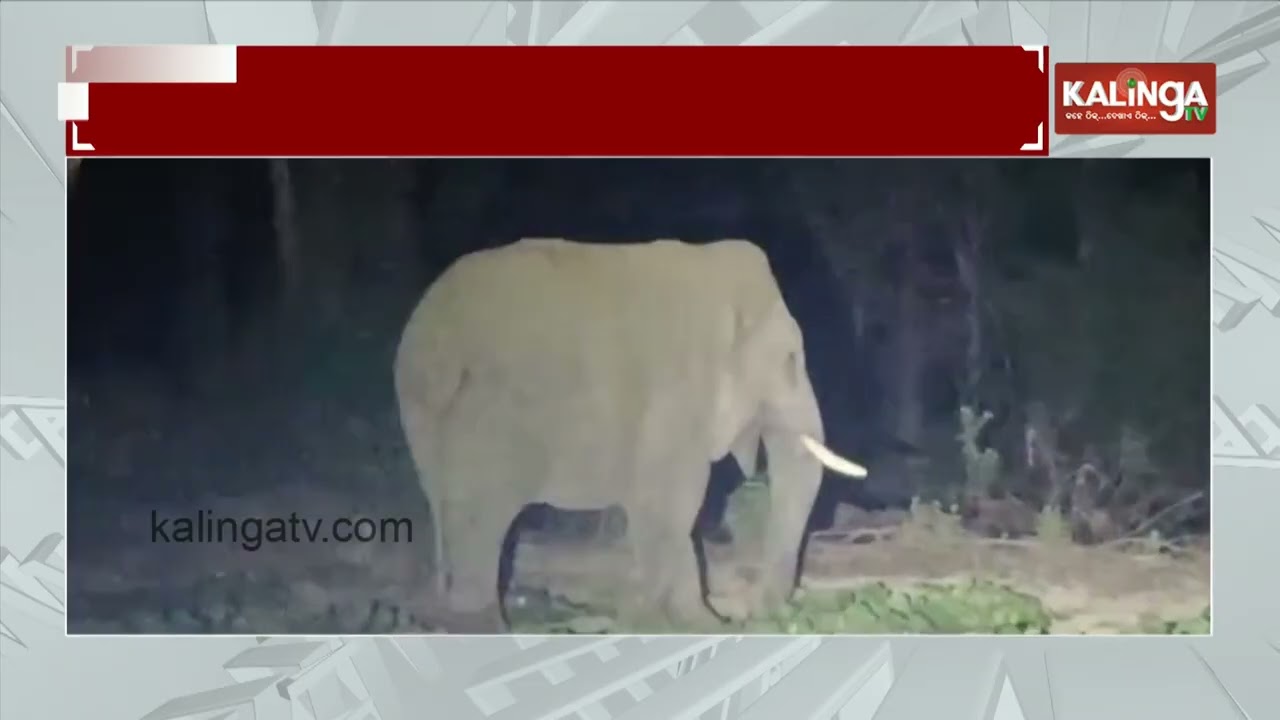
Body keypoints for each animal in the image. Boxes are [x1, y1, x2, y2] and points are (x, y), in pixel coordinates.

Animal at [393, 237, 868, 632]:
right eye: (791, 360)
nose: (758, 612)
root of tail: (428, 339)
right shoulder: (679, 391)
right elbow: (671, 505)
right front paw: (684, 624)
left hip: (425, 421)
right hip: (491, 418)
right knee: (481, 514)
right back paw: (486, 627)